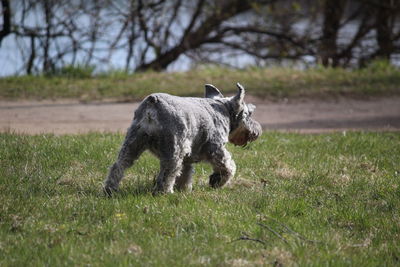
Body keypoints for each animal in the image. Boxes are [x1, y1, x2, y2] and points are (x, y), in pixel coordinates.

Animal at [104, 82, 262, 196]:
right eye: (248, 114)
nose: (258, 131)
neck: (224, 110)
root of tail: (152, 103)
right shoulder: (216, 149)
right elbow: (228, 167)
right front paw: (217, 181)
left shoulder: (187, 157)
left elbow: (185, 175)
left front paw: (184, 190)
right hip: (173, 149)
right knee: (167, 173)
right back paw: (166, 192)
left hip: (132, 144)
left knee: (118, 166)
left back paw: (110, 190)